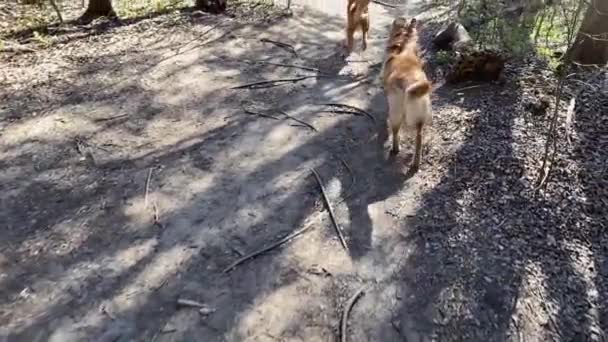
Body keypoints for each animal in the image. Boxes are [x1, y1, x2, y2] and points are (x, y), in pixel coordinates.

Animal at [380, 16, 432, 171]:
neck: (404, 46)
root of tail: (412, 84)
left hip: (396, 111)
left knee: (396, 132)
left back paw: (395, 149)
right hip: (420, 117)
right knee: (419, 138)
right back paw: (415, 162)